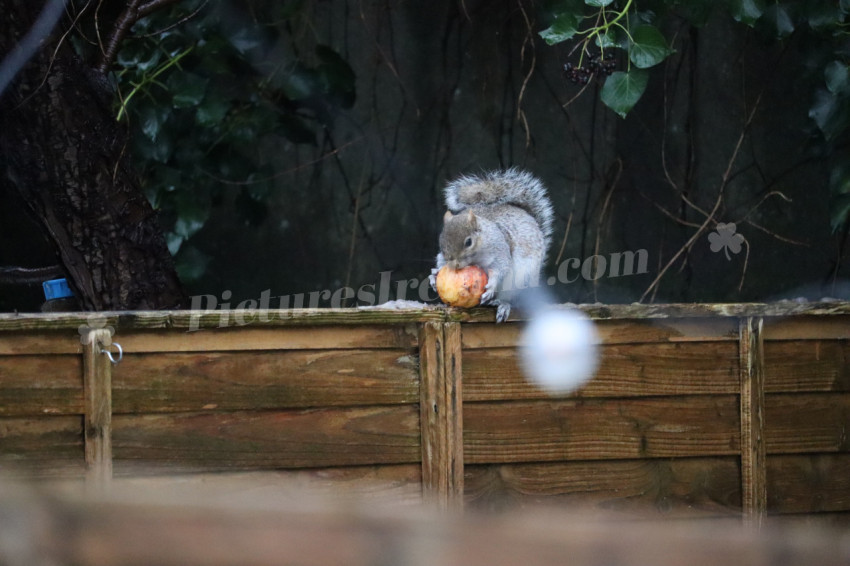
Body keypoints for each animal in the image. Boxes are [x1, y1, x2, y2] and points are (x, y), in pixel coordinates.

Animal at [428, 168, 552, 324]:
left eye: (468, 242)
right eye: (441, 242)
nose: (454, 266)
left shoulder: (499, 250)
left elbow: (501, 268)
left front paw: (492, 286)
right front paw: (434, 275)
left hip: (521, 280)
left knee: (512, 300)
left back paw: (502, 304)